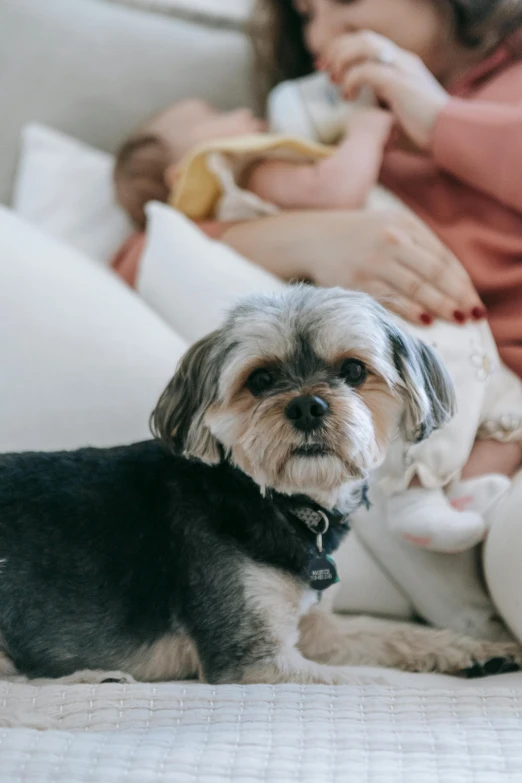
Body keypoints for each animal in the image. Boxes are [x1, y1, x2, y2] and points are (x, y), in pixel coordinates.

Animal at [0, 284, 516, 684]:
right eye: (261, 379)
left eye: (353, 370)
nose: (307, 406)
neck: (280, 502)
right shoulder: (254, 657)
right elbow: (362, 683)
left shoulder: (315, 627)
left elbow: (386, 632)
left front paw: (477, 649)